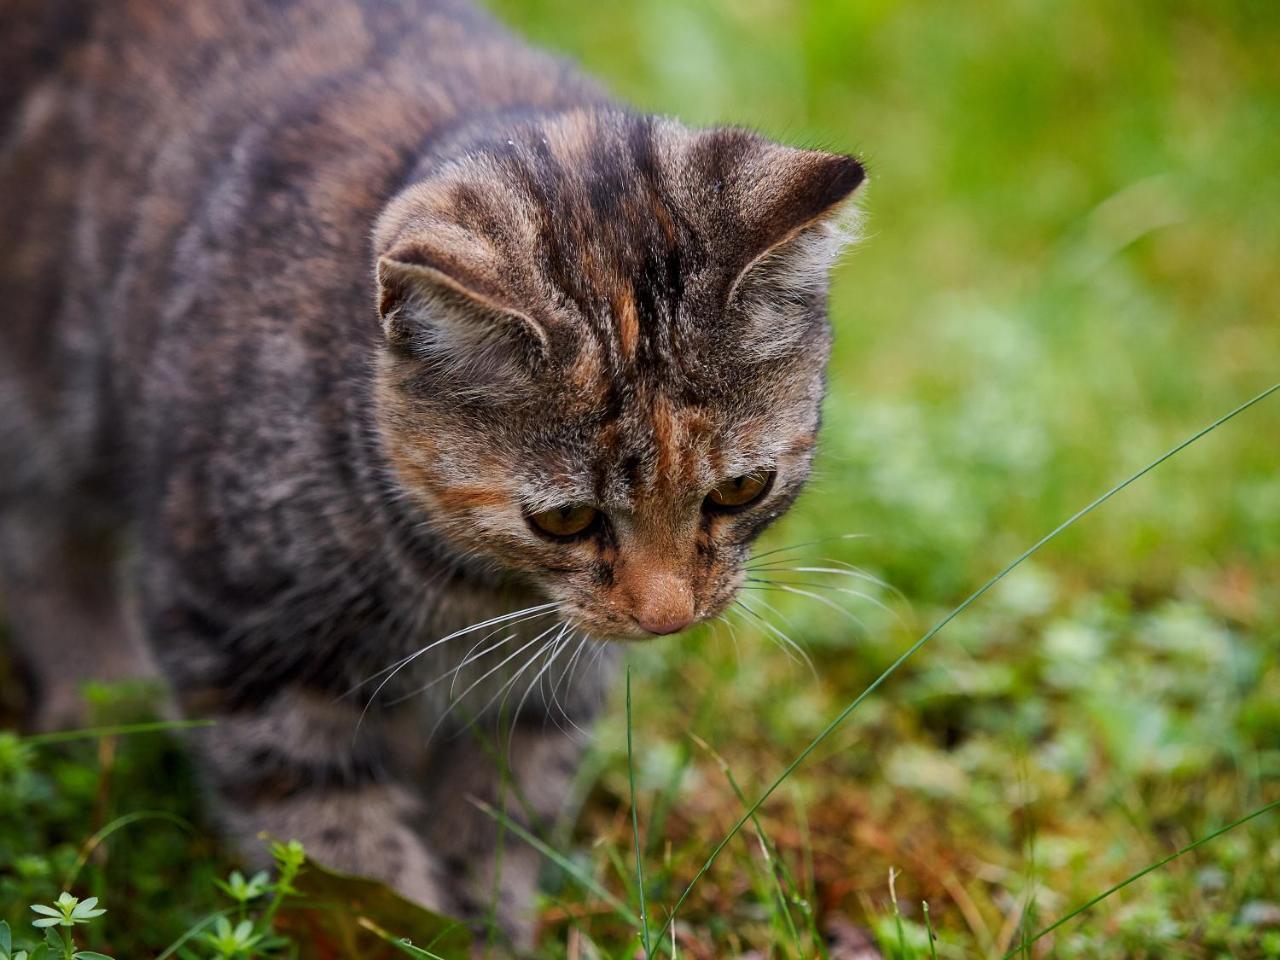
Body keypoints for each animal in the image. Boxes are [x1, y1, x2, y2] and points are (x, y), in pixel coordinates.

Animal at [0, 0, 865, 947]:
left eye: (740, 490)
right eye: (563, 519)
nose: (669, 616)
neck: (475, 592)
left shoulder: (547, 691)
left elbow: (501, 819)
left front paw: (486, 929)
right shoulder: (241, 639)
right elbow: (336, 839)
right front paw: (403, 930)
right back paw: (99, 701)